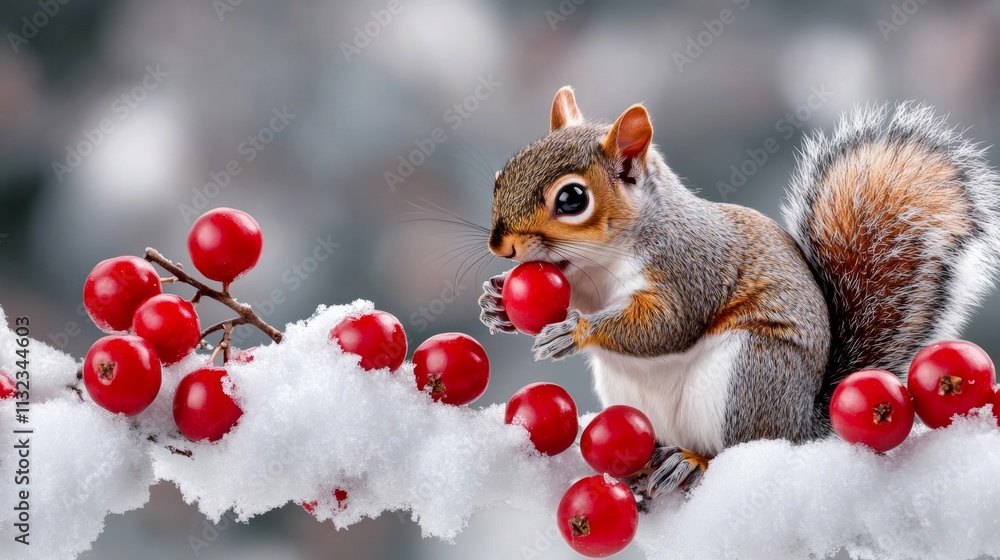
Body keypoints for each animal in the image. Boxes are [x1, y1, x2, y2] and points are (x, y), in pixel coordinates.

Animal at [478, 86, 1000, 500]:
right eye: (500, 176)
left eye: (572, 199)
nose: (501, 246)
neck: (598, 264)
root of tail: (804, 424)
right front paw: (496, 305)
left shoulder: (690, 268)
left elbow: (666, 325)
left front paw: (575, 330)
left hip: (747, 372)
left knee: (734, 448)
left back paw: (691, 461)